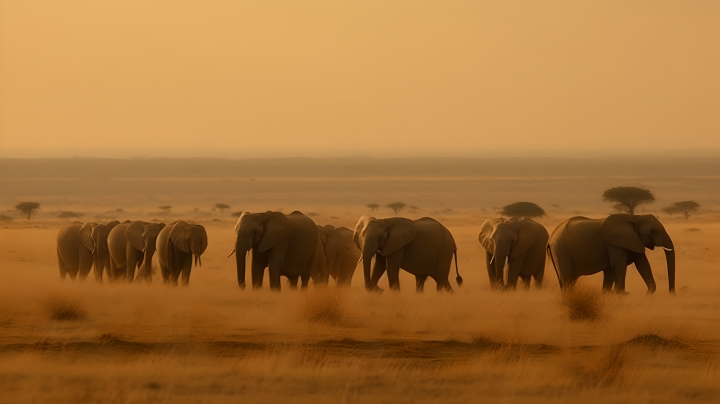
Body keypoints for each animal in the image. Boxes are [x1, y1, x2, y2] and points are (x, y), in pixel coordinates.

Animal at [548, 215, 676, 294]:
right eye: (652, 232)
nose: (671, 293)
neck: (636, 217)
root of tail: (550, 239)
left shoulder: (634, 241)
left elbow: (642, 264)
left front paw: (649, 293)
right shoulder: (615, 244)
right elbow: (620, 266)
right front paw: (622, 294)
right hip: (561, 251)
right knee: (567, 279)